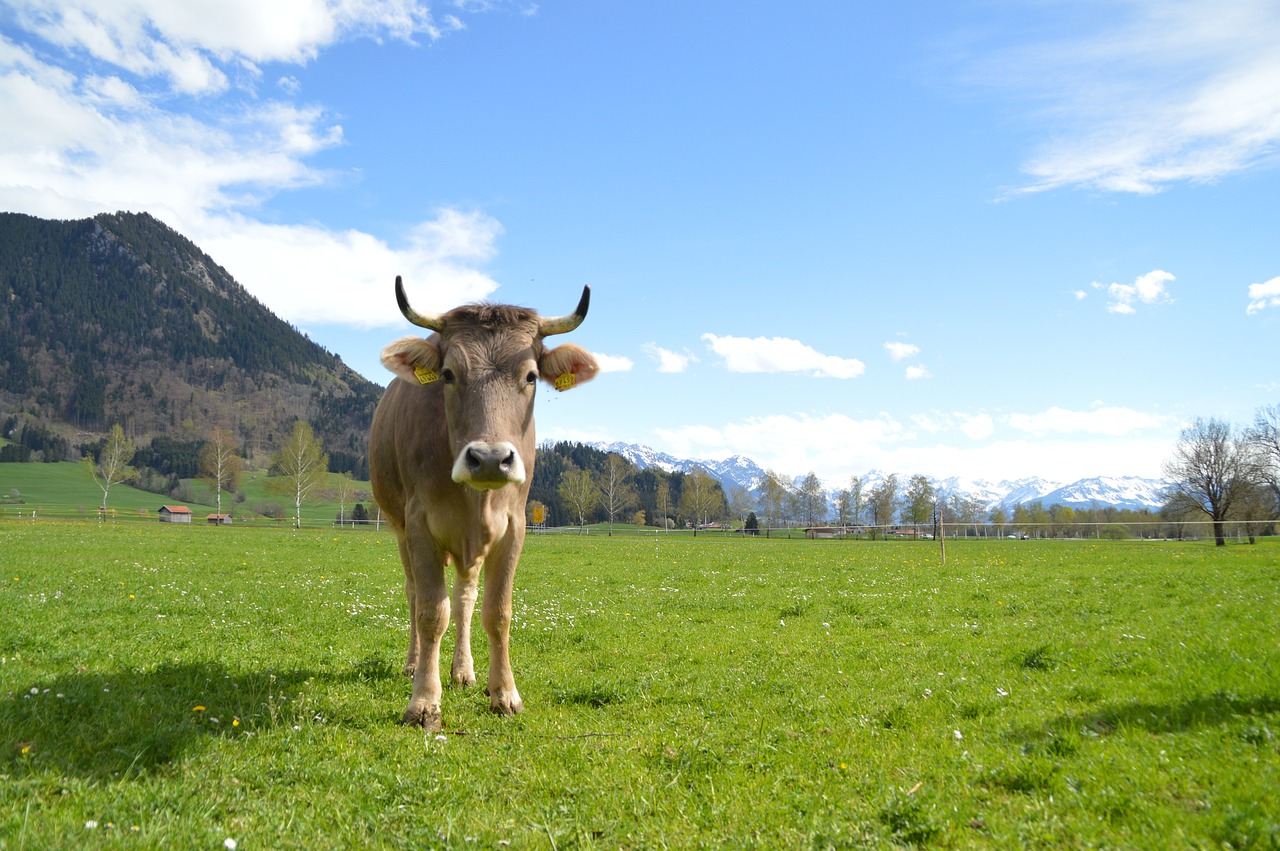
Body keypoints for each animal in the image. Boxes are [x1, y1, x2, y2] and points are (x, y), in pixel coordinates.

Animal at [366, 275, 593, 726]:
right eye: (448, 373)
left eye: (531, 375)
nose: (489, 458)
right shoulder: (420, 524)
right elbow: (430, 611)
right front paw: (424, 702)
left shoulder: (514, 526)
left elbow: (497, 612)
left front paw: (503, 692)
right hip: (398, 526)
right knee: (414, 593)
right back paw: (415, 664)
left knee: (465, 599)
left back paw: (463, 670)